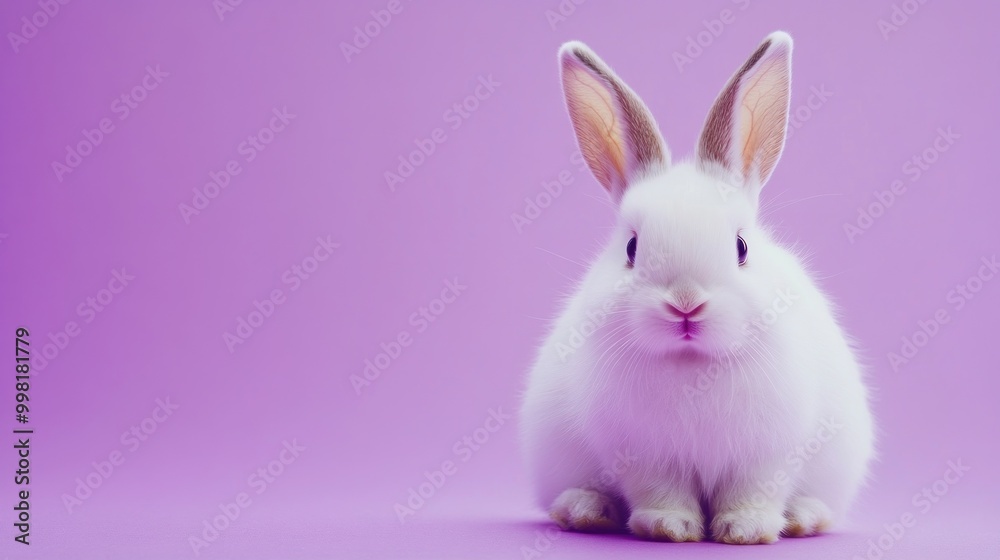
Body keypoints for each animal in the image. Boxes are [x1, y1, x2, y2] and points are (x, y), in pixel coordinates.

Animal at [519, 31, 875, 545]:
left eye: (741, 247)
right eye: (631, 248)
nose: (686, 305)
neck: (694, 366)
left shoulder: (768, 454)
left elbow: (753, 491)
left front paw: (745, 530)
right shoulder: (644, 455)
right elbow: (661, 491)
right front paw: (669, 527)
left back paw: (806, 517)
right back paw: (586, 509)